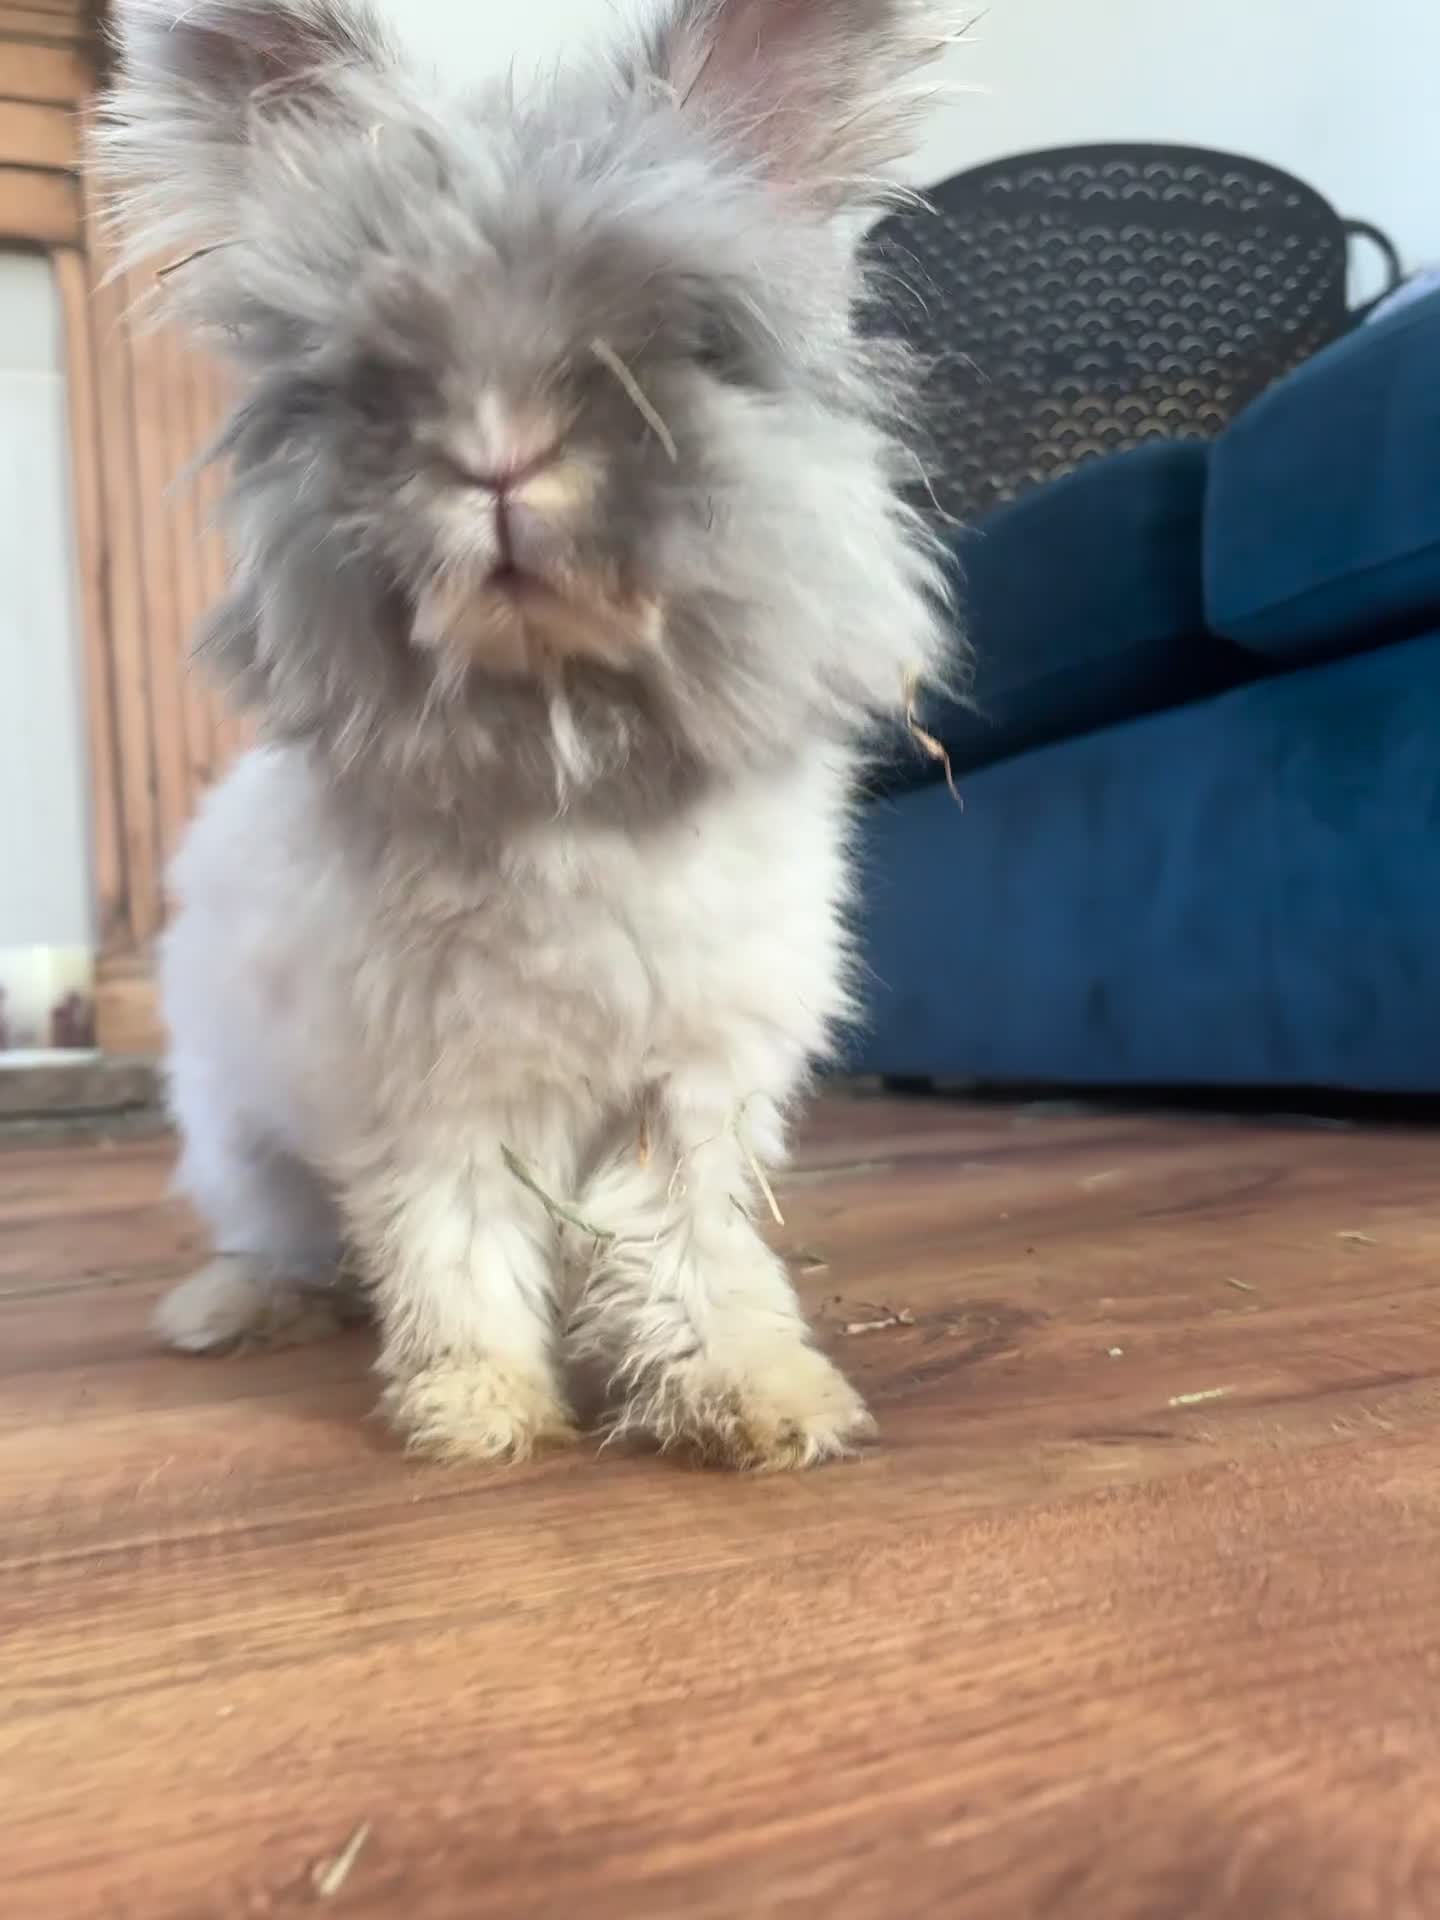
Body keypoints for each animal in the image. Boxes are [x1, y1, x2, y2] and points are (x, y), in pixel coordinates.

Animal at [99, 0, 954, 1470]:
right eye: (378, 378)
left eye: (683, 346)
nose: (496, 459)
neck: (566, 758)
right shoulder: (433, 1100)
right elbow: (455, 1244)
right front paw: (479, 1412)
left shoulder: (689, 1093)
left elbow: (680, 1249)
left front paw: (763, 1402)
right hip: (237, 1136)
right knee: (284, 1238)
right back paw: (226, 1311)